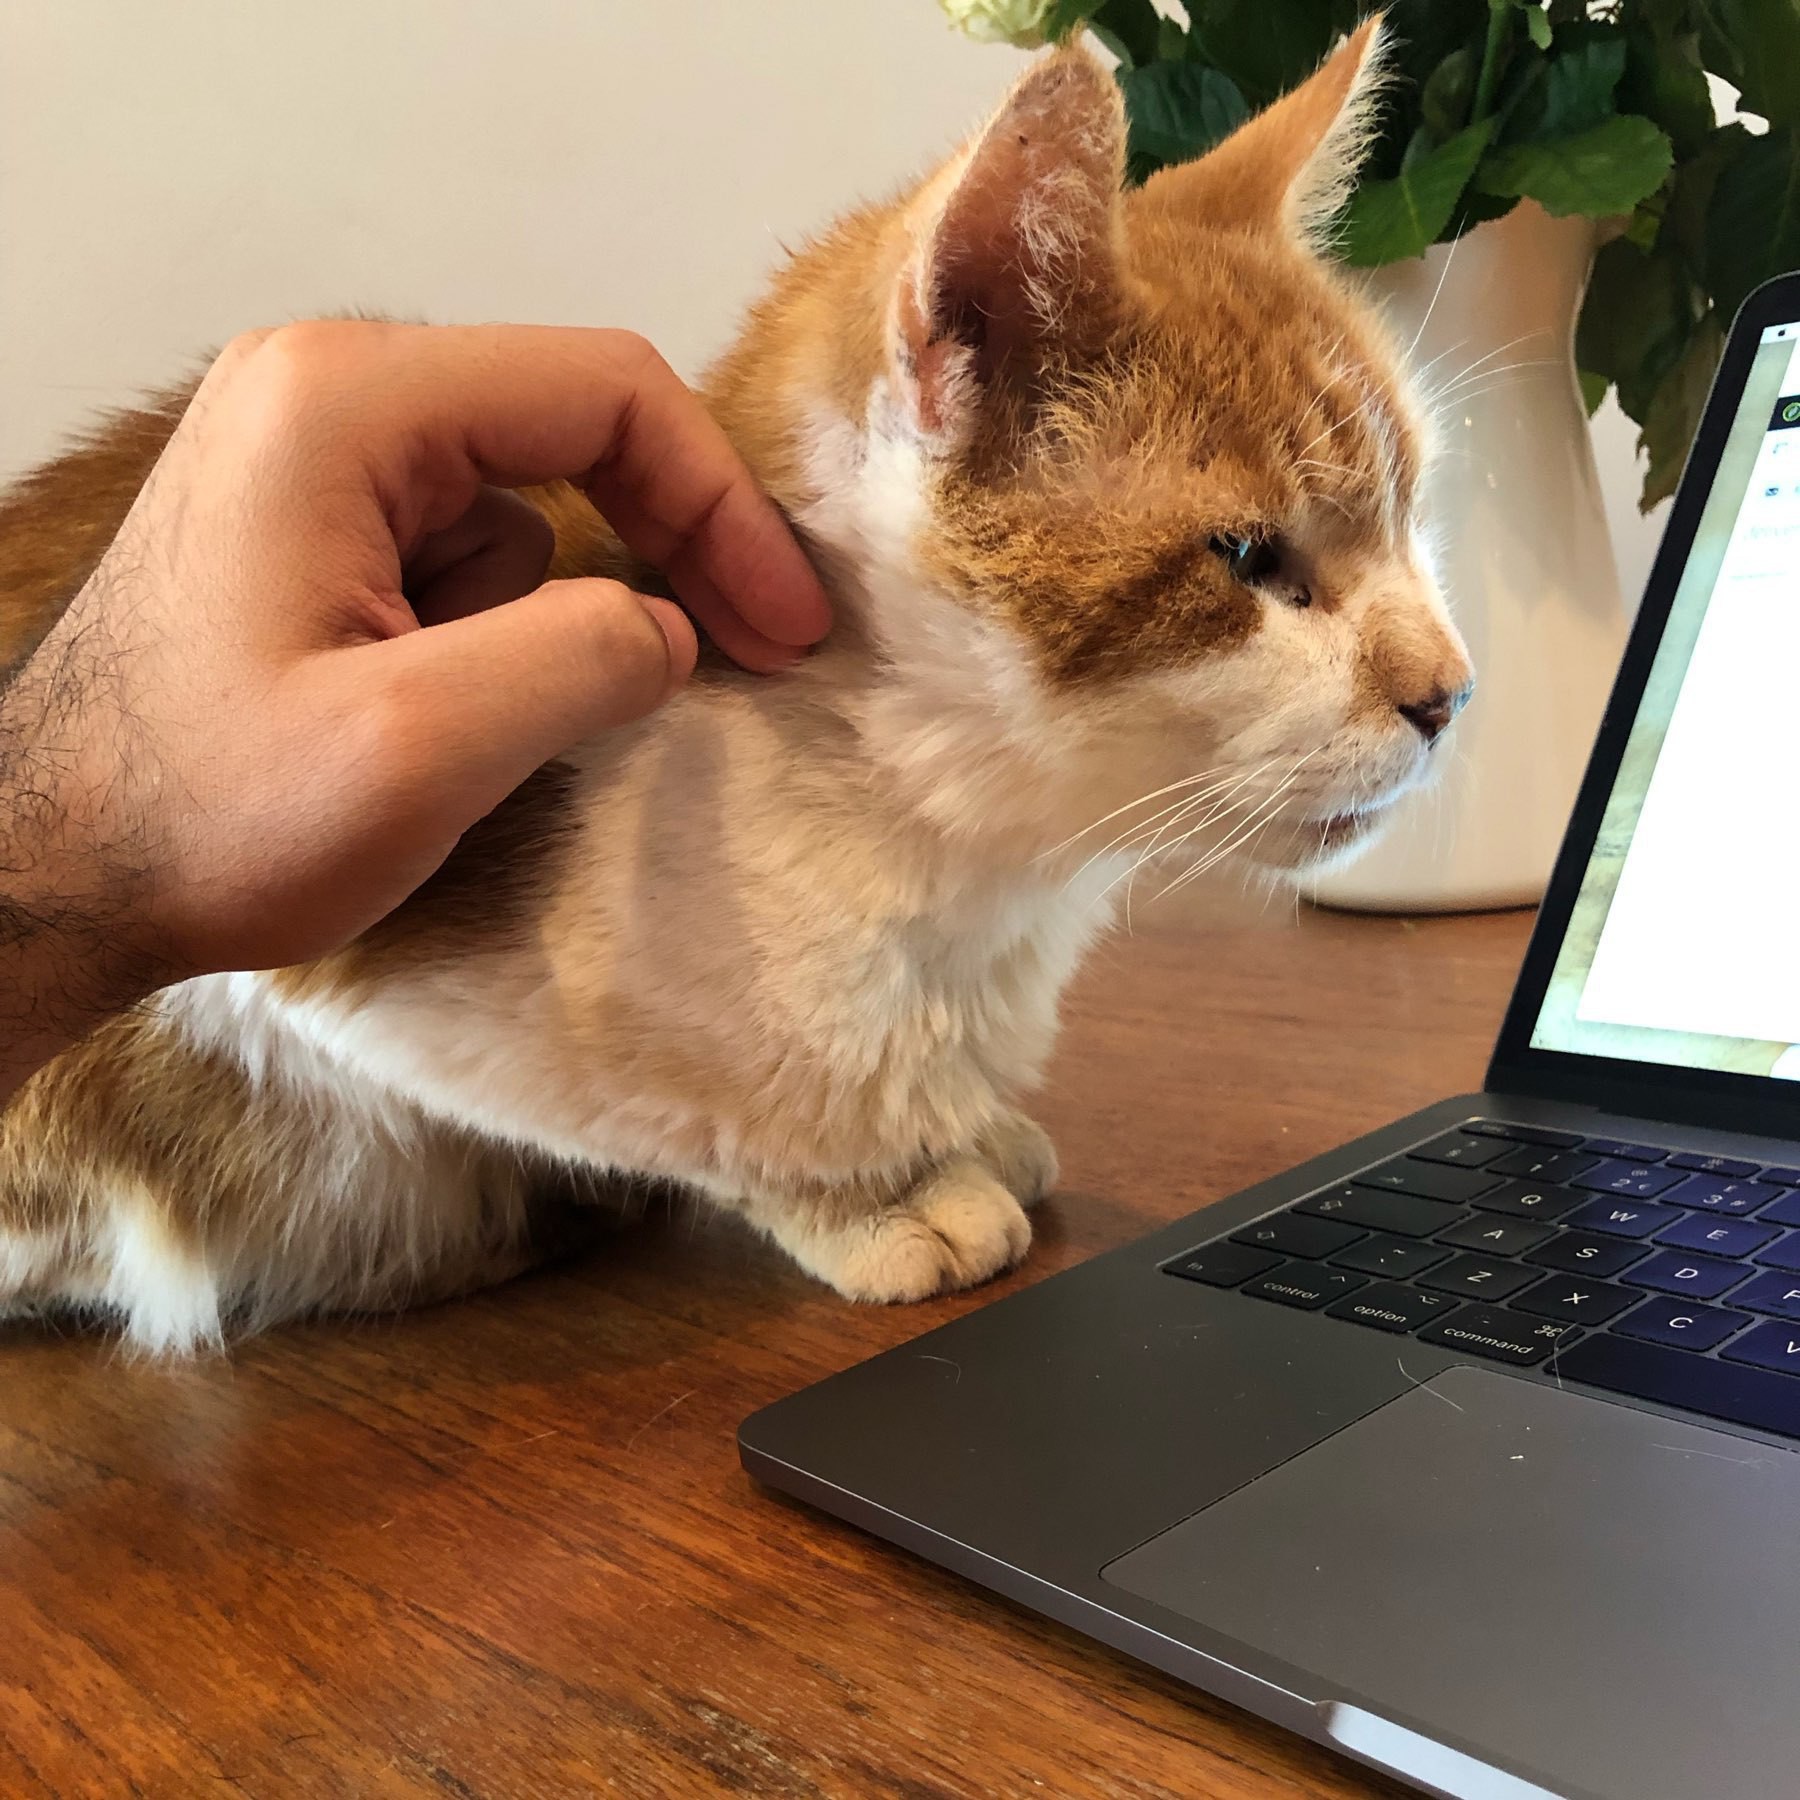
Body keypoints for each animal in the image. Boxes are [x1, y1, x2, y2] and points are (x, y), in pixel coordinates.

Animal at [0, 24, 1468, 1353]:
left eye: (1413, 521)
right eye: (1252, 559)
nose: (1451, 691)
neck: (960, 874)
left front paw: (966, 1130)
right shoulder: (339, 975)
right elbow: (688, 1114)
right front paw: (881, 1193)